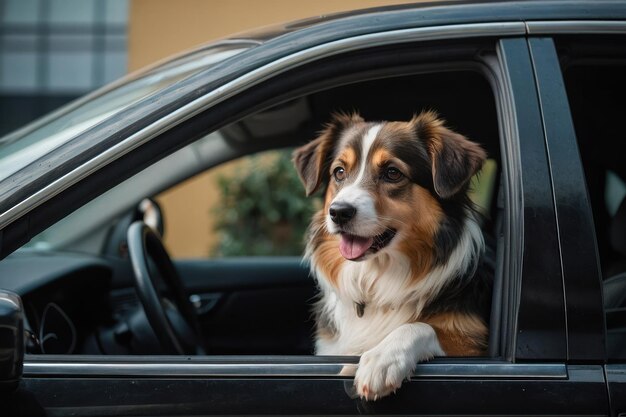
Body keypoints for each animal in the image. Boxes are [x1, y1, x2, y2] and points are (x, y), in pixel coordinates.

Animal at [290, 109, 490, 400]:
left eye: (393, 173)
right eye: (339, 172)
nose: (338, 212)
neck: (376, 277)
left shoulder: (474, 347)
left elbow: (419, 326)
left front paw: (381, 359)